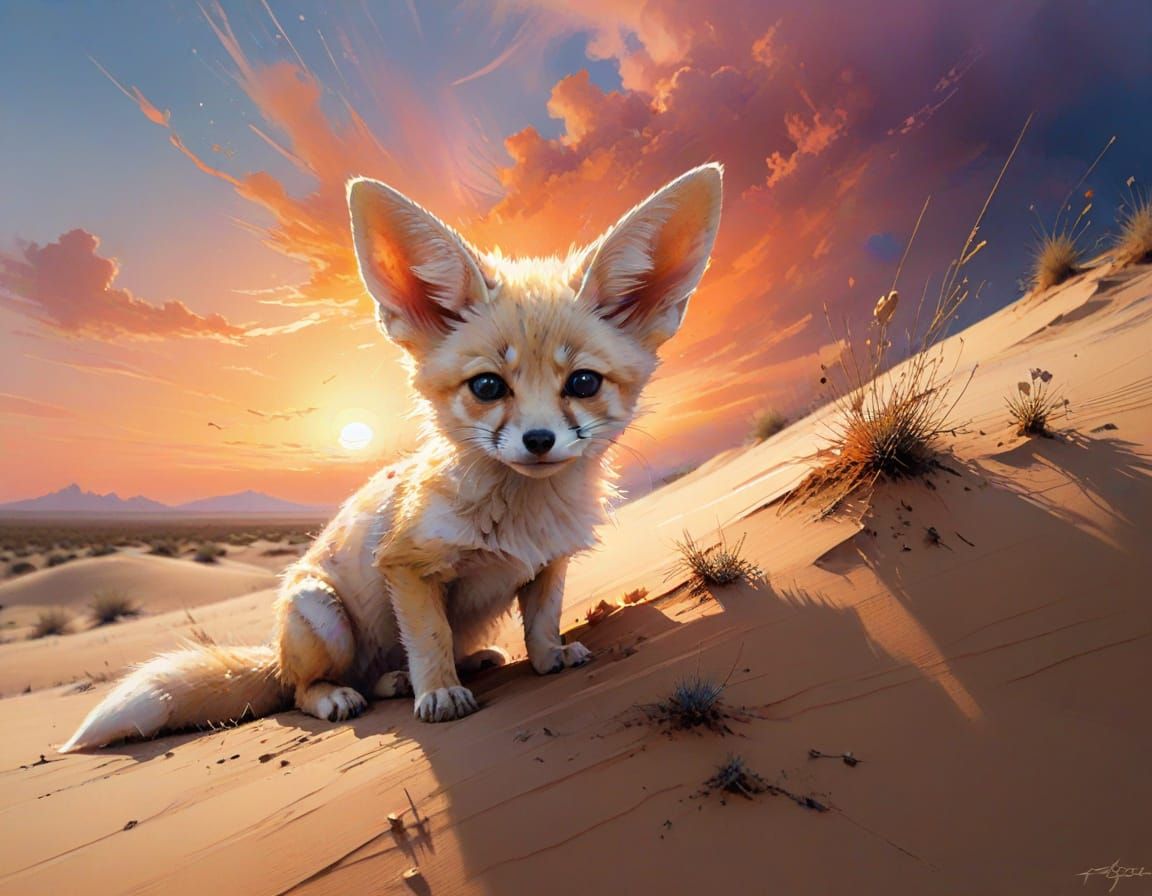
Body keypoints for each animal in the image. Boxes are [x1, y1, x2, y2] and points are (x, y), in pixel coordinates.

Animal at [59, 163, 723, 752]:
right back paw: (353, 692)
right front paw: (440, 696)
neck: (521, 515)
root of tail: (276, 654)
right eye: (488, 386)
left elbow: (542, 619)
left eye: (583, 383)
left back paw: (456, 664)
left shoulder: (547, 563)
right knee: (302, 691)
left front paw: (549, 658)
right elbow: (428, 638)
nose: (539, 441)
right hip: (321, 613)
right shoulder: (407, 567)